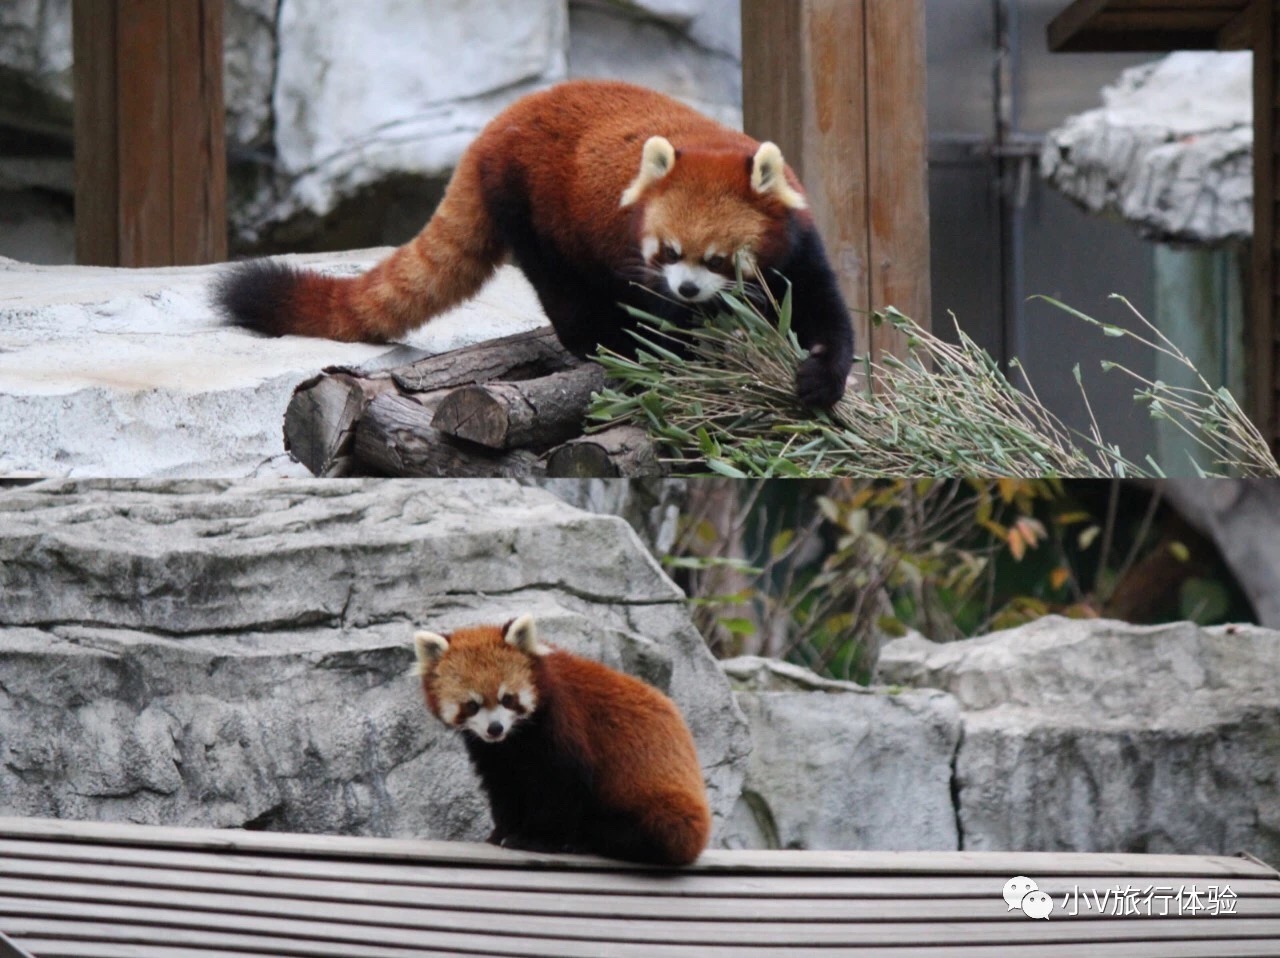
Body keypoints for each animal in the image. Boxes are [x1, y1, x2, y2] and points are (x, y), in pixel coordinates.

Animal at [215, 79, 855, 407]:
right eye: (669, 252)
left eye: (718, 259)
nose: (690, 289)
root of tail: (495, 125)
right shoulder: (640, 265)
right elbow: (659, 314)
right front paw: (676, 353)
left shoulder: (799, 246)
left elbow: (822, 311)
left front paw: (820, 378)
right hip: (529, 208)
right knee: (562, 289)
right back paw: (607, 345)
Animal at [414, 614, 711, 865]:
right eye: (472, 705)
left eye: (507, 698)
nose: (495, 728)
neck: (517, 737)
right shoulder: (495, 753)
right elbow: (505, 786)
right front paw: (502, 831)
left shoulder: (562, 725)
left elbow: (561, 787)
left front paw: (534, 839)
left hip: (659, 805)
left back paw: (583, 840)